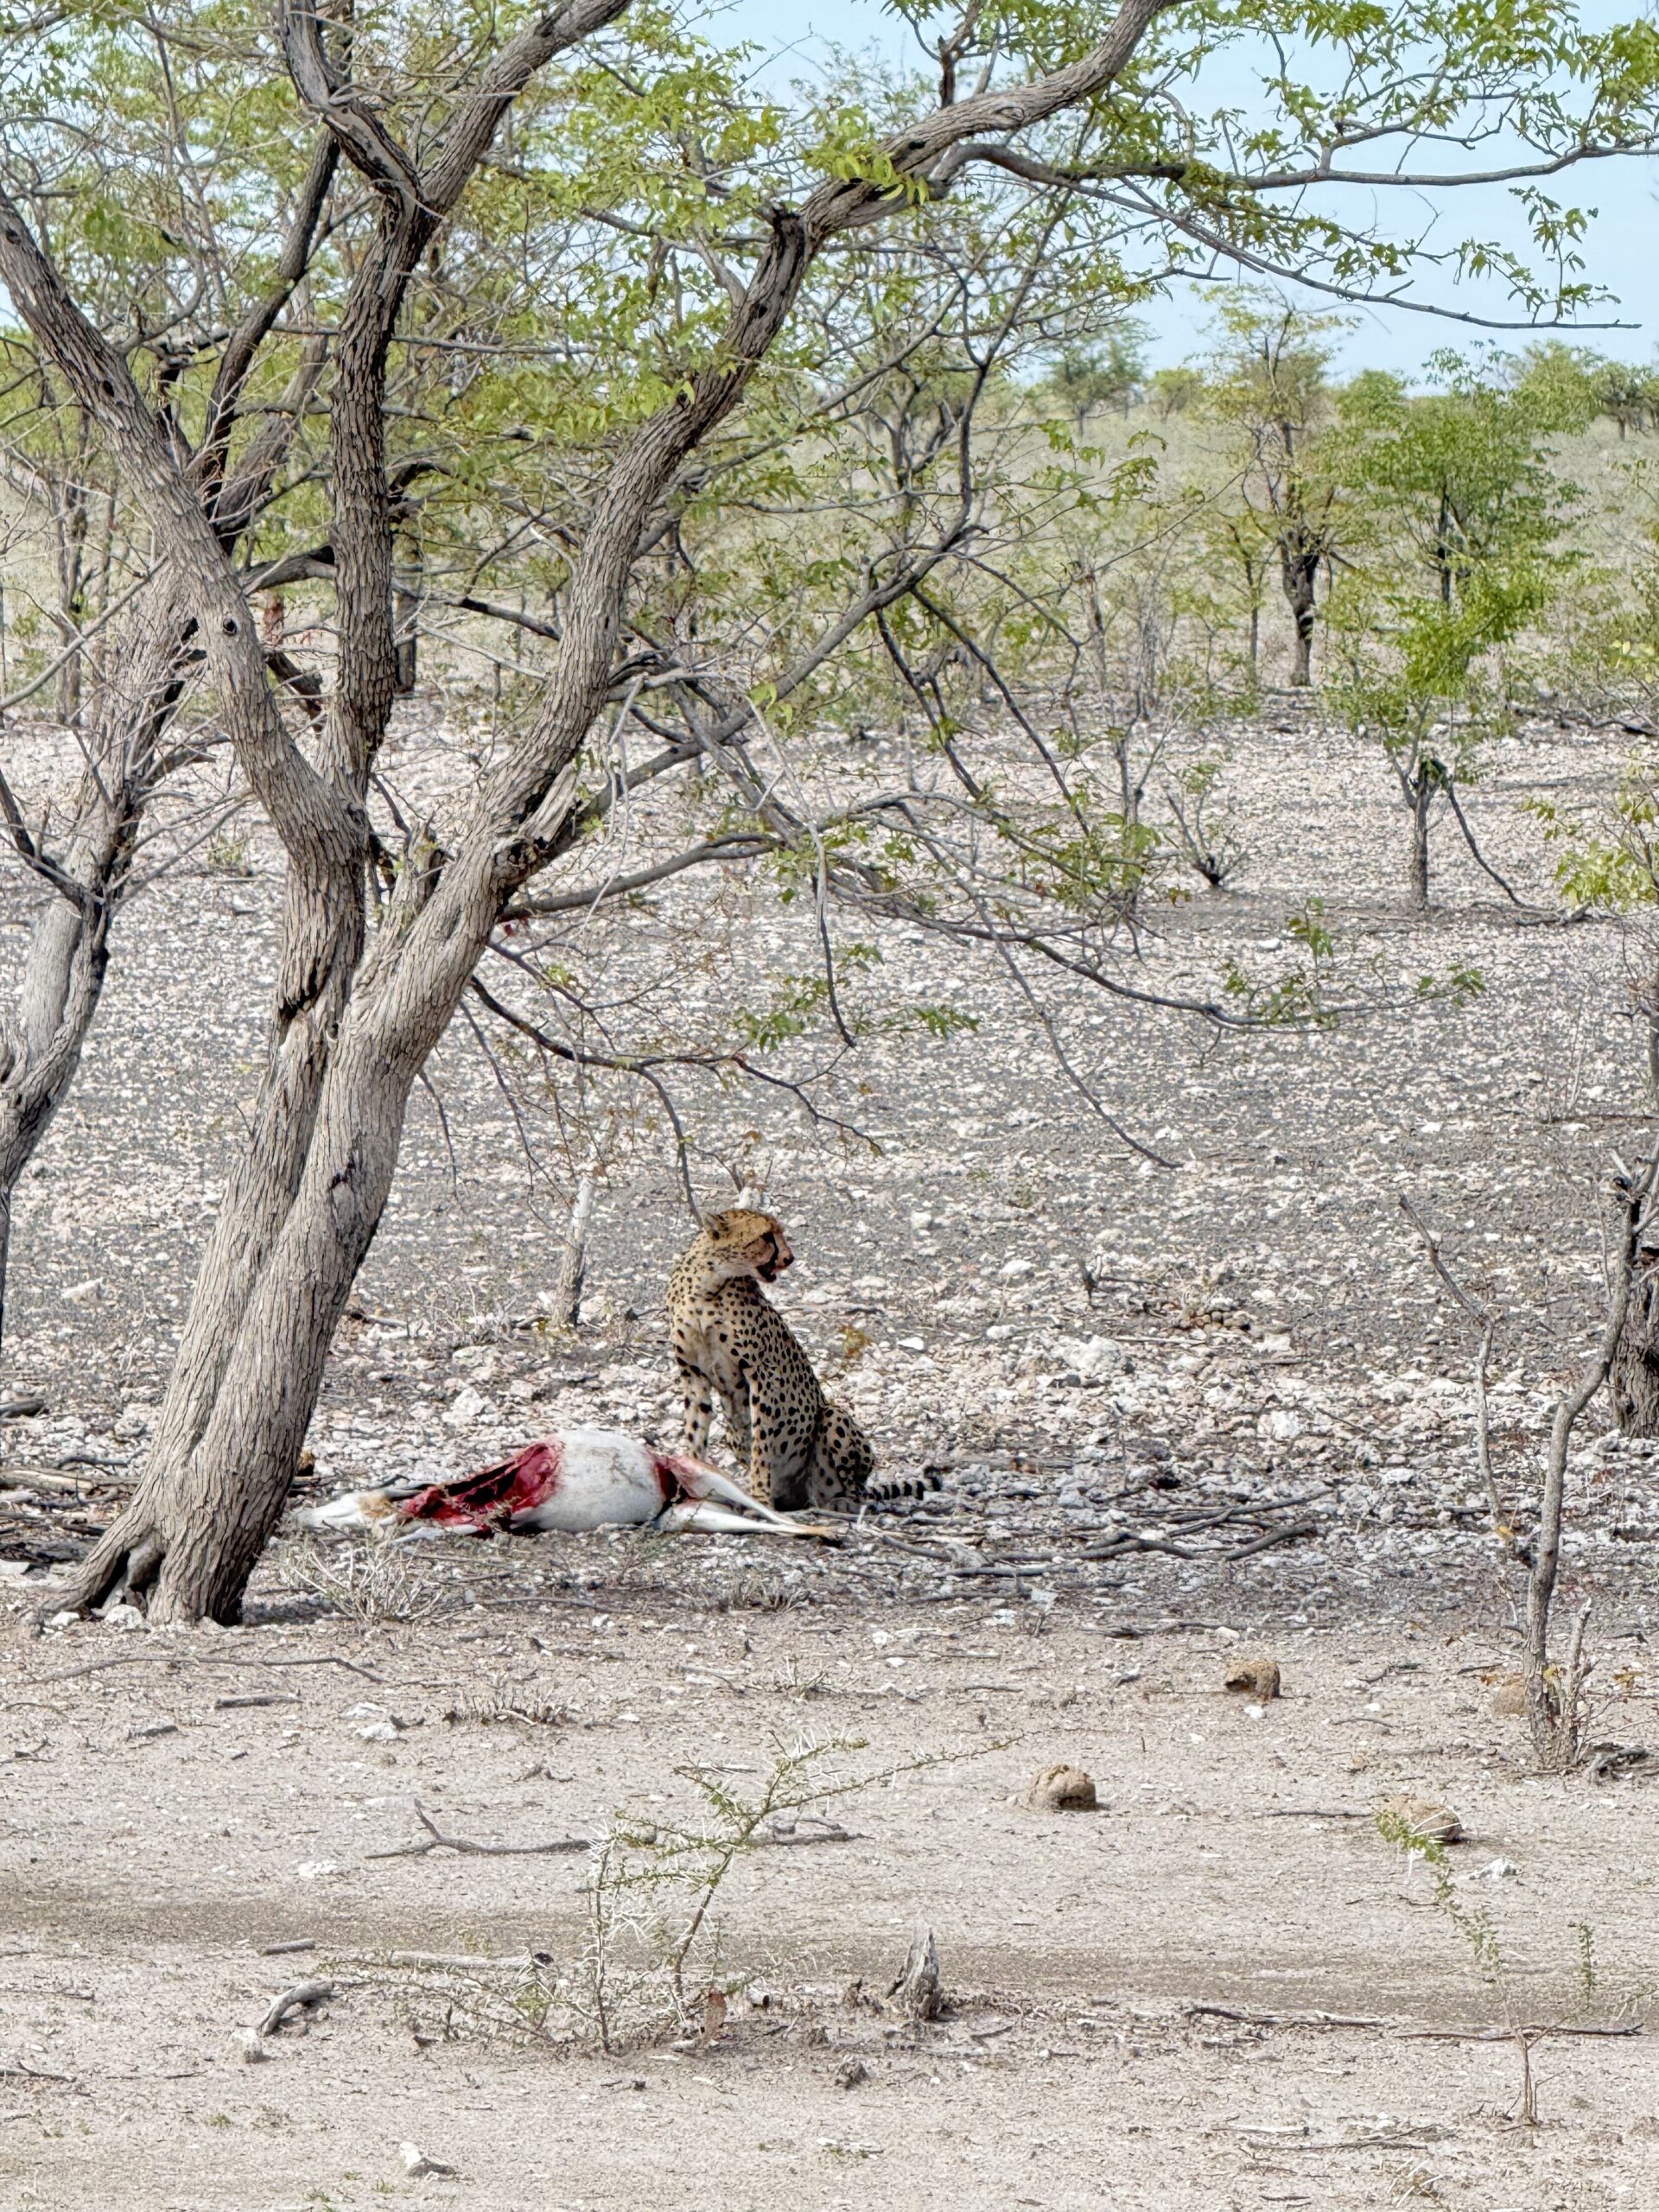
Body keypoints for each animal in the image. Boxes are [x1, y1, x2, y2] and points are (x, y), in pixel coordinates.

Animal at [668, 1211, 875, 1522]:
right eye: (766, 1236)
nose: (789, 1258)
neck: (707, 1287)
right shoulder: (693, 1374)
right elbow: (695, 1432)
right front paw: (689, 1482)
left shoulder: (762, 1374)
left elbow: (762, 1442)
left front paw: (759, 1498)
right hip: (733, 1435)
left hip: (833, 1417)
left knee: (855, 1489)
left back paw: (843, 1503)